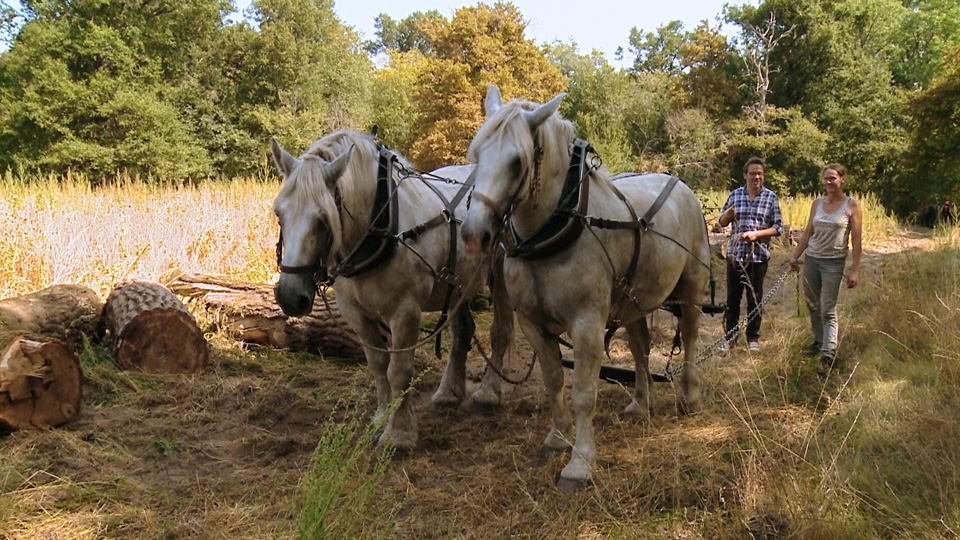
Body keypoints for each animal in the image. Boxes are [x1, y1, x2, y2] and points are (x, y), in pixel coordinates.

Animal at [274, 130, 512, 452]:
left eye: (323, 219)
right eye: (279, 214)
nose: (289, 296)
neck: (377, 229)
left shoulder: (405, 312)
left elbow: (398, 371)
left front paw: (399, 434)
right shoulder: (355, 313)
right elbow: (378, 365)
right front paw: (381, 418)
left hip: (500, 271)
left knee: (500, 332)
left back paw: (488, 393)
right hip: (458, 282)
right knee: (463, 332)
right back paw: (448, 393)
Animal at [462, 85, 708, 490]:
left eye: (517, 162)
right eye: (476, 154)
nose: (474, 234)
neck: (549, 234)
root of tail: (684, 188)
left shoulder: (586, 324)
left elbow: (583, 393)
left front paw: (580, 463)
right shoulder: (532, 323)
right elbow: (553, 380)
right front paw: (557, 437)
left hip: (691, 288)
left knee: (688, 337)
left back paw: (689, 396)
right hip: (634, 300)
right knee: (640, 348)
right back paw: (640, 403)